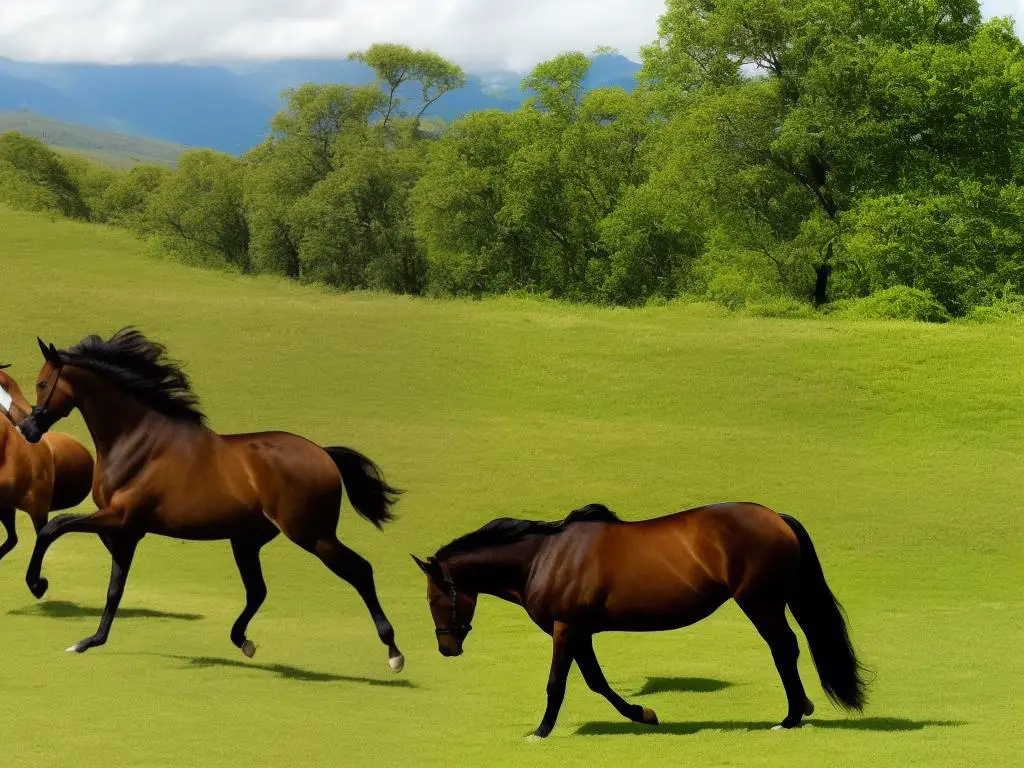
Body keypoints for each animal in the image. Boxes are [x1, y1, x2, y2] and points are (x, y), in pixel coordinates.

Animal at [17, 331, 403, 671]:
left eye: (42, 384)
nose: (28, 430)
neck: (137, 441)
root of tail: (324, 454)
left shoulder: (120, 518)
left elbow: (54, 527)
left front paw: (38, 585)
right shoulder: (125, 528)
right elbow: (115, 586)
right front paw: (89, 641)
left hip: (312, 535)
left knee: (360, 571)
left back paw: (394, 653)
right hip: (247, 540)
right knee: (258, 591)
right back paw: (243, 641)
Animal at [411, 505, 868, 741]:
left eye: (434, 598)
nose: (447, 648)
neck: (545, 556)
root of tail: (777, 517)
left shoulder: (565, 627)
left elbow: (557, 683)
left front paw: (540, 731)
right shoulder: (581, 631)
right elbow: (596, 680)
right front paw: (642, 713)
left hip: (761, 603)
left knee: (784, 648)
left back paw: (790, 716)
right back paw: (800, 709)